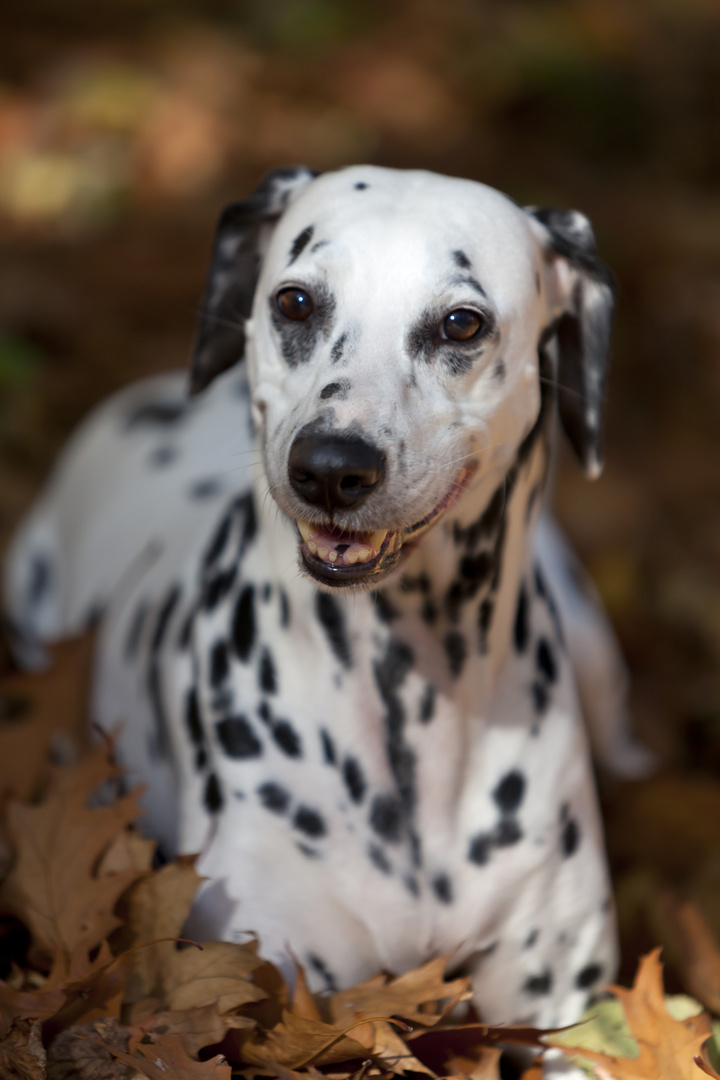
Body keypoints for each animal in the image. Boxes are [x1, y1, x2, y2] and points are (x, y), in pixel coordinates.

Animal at [4, 166, 647, 1028]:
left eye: (461, 324)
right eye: (297, 301)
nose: (332, 466)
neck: (410, 698)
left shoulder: (562, 1005)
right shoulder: (263, 961)